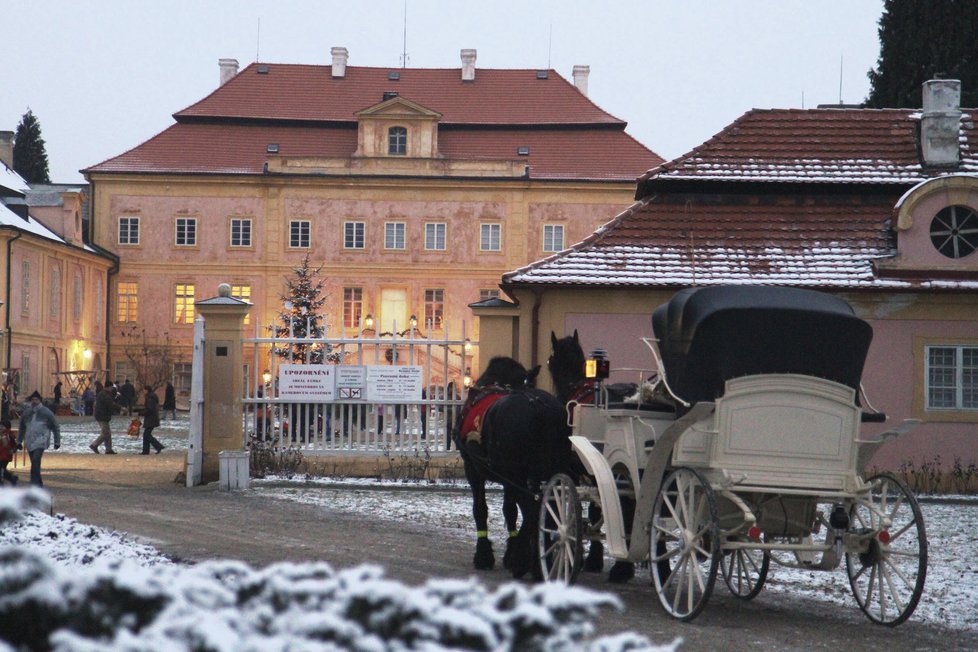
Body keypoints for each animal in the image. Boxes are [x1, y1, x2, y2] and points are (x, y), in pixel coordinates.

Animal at [456, 354, 576, 580]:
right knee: (545, 510)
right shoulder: (508, 478)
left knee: (532, 510)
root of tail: (538, 406)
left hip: (517, 472)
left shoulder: (473, 469)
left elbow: (481, 509)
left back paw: (523, 560)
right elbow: (510, 510)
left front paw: (484, 555)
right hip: (546, 470)